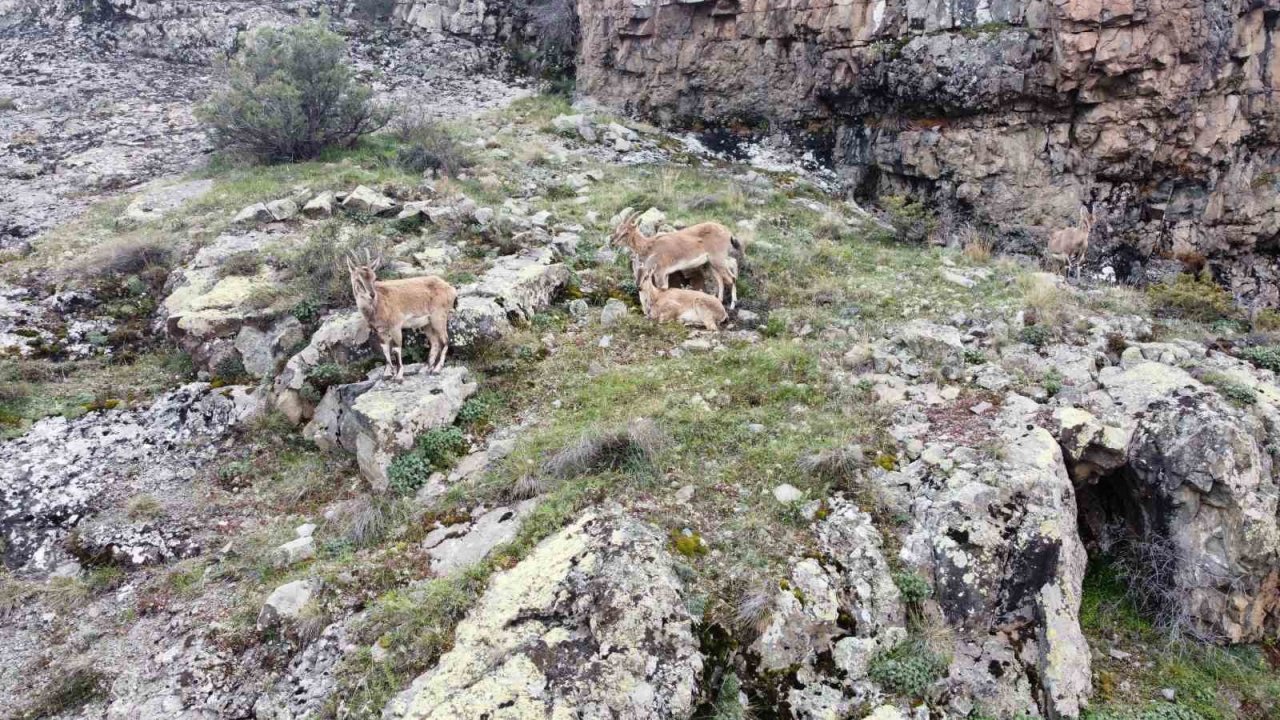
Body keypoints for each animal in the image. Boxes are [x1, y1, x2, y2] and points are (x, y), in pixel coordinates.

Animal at [345, 249, 455, 379]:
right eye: (358, 279)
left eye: (374, 278)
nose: (372, 295)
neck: (377, 304)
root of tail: (450, 288)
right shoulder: (380, 330)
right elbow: (385, 349)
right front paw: (387, 374)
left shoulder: (395, 326)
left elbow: (397, 348)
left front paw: (398, 376)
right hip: (427, 323)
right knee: (435, 342)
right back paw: (425, 368)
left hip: (438, 317)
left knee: (445, 341)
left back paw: (437, 369)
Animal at [614, 208, 747, 307]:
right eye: (618, 229)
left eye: (626, 232)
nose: (613, 241)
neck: (650, 245)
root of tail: (728, 232)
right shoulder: (666, 273)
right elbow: (666, 288)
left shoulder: (660, 272)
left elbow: (662, 289)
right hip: (711, 263)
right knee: (723, 276)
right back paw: (718, 300)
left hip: (717, 259)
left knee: (732, 277)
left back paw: (733, 304)